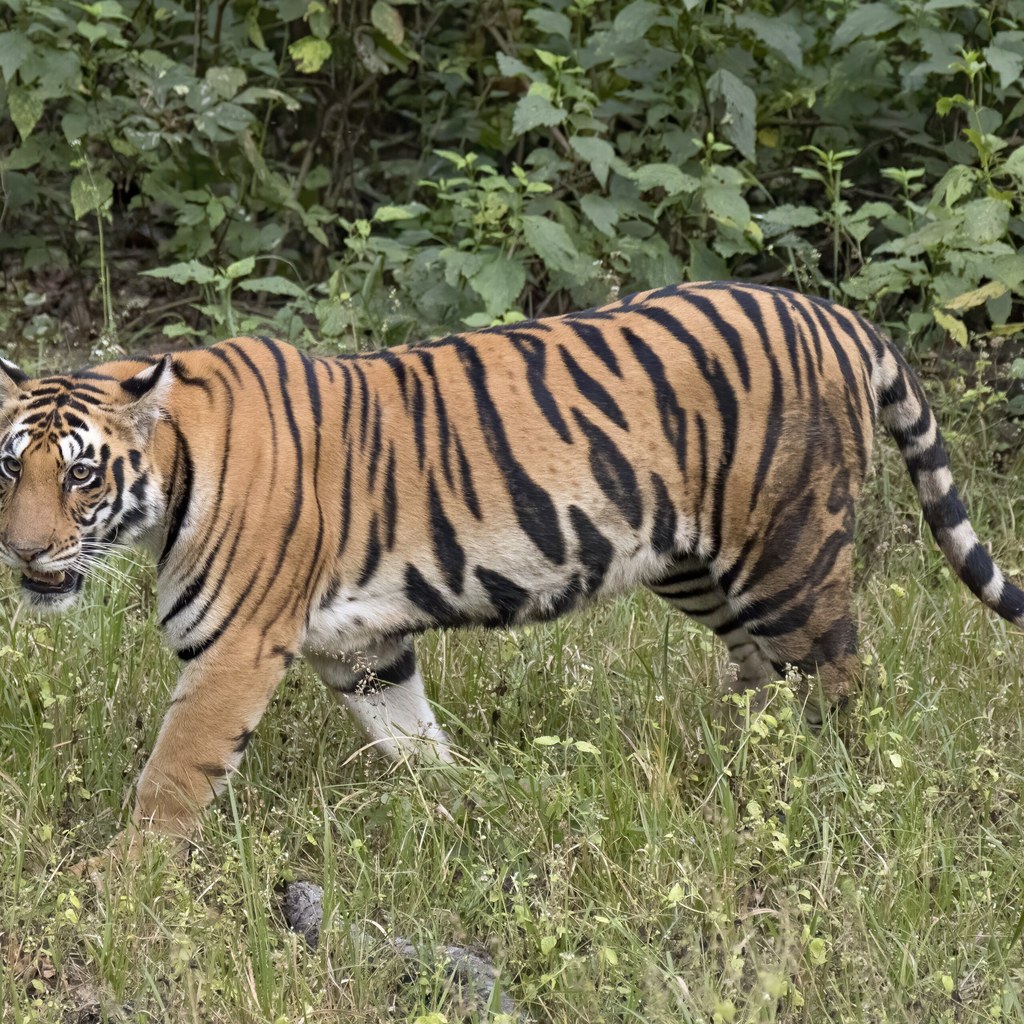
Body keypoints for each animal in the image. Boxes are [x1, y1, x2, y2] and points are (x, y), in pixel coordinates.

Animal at [1, 281, 1022, 855]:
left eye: (81, 473)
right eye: (13, 466)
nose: (21, 551)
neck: (171, 480)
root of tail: (837, 315)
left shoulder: (235, 648)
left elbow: (174, 773)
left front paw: (122, 880)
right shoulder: (360, 648)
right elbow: (412, 737)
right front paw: (462, 805)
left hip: (790, 555)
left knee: (841, 680)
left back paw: (833, 793)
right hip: (694, 565)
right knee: (761, 673)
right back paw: (741, 762)